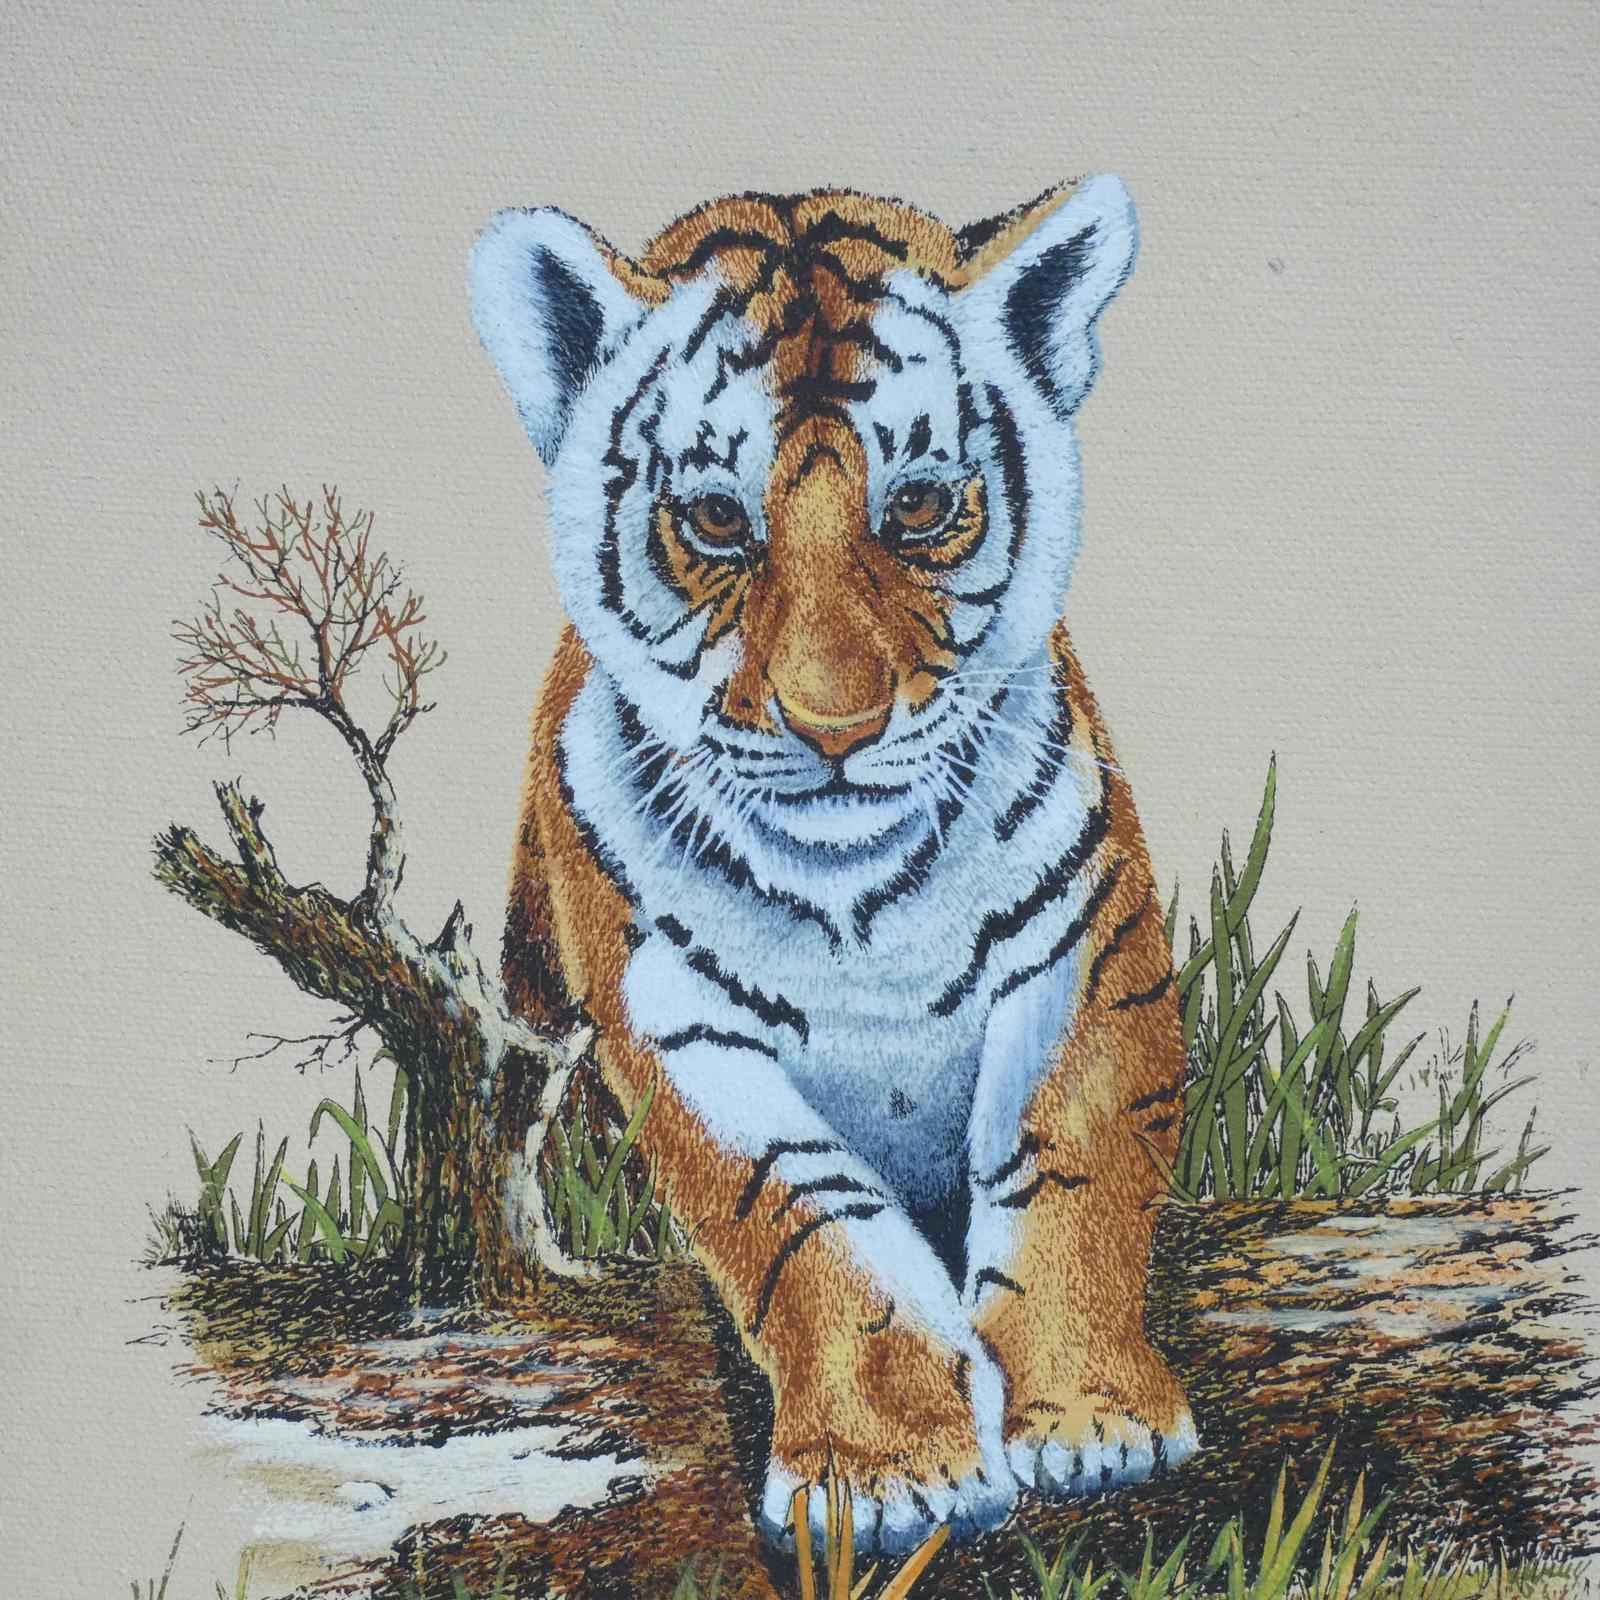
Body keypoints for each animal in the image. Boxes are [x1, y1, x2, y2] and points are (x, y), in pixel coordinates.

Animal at [471, 175, 1197, 1555]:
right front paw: (887, 1470)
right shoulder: (676, 1023)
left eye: (916, 505)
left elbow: (1067, 1173)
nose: (835, 724)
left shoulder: (1083, 948)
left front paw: (1093, 1421)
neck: (856, 891)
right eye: (715, 519)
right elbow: (820, 1232)